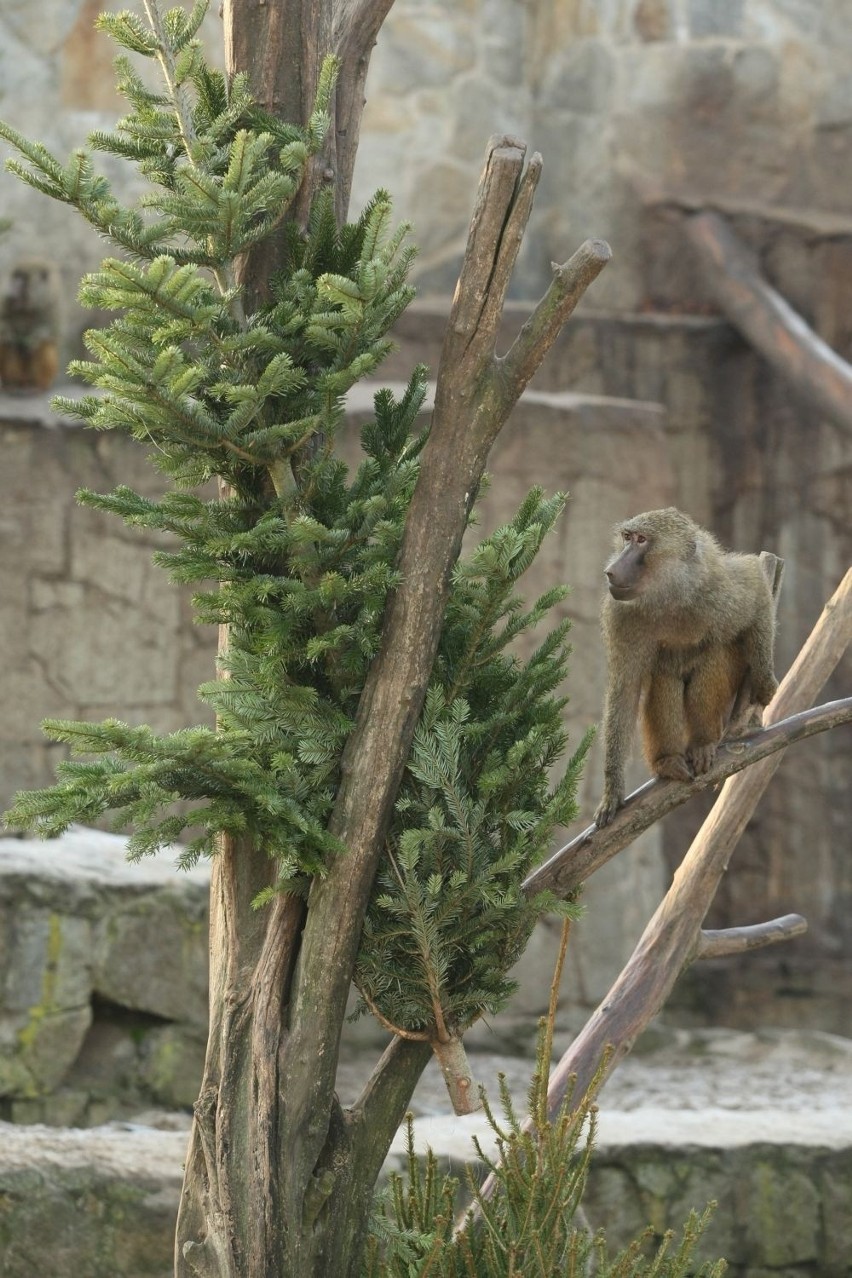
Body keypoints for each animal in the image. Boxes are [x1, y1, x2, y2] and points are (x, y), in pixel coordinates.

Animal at [597, 508, 776, 828]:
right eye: (627, 537)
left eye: (642, 540)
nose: (612, 570)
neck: (669, 594)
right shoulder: (620, 614)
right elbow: (625, 690)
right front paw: (612, 792)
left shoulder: (717, 589)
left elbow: (754, 581)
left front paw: (766, 679)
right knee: (664, 678)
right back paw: (667, 761)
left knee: (713, 656)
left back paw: (703, 742)